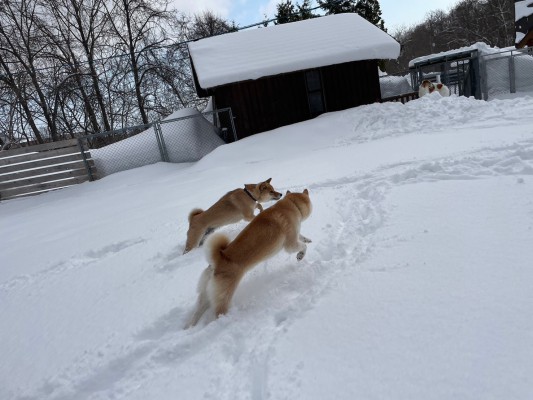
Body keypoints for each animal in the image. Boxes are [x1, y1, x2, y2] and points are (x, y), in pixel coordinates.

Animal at [187, 189, 312, 326]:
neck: (292, 205)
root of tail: (217, 260)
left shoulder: (295, 235)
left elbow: (302, 237)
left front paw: (307, 239)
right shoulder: (290, 244)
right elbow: (302, 246)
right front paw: (301, 255)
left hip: (206, 296)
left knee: (196, 313)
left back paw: (190, 327)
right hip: (224, 295)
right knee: (218, 313)